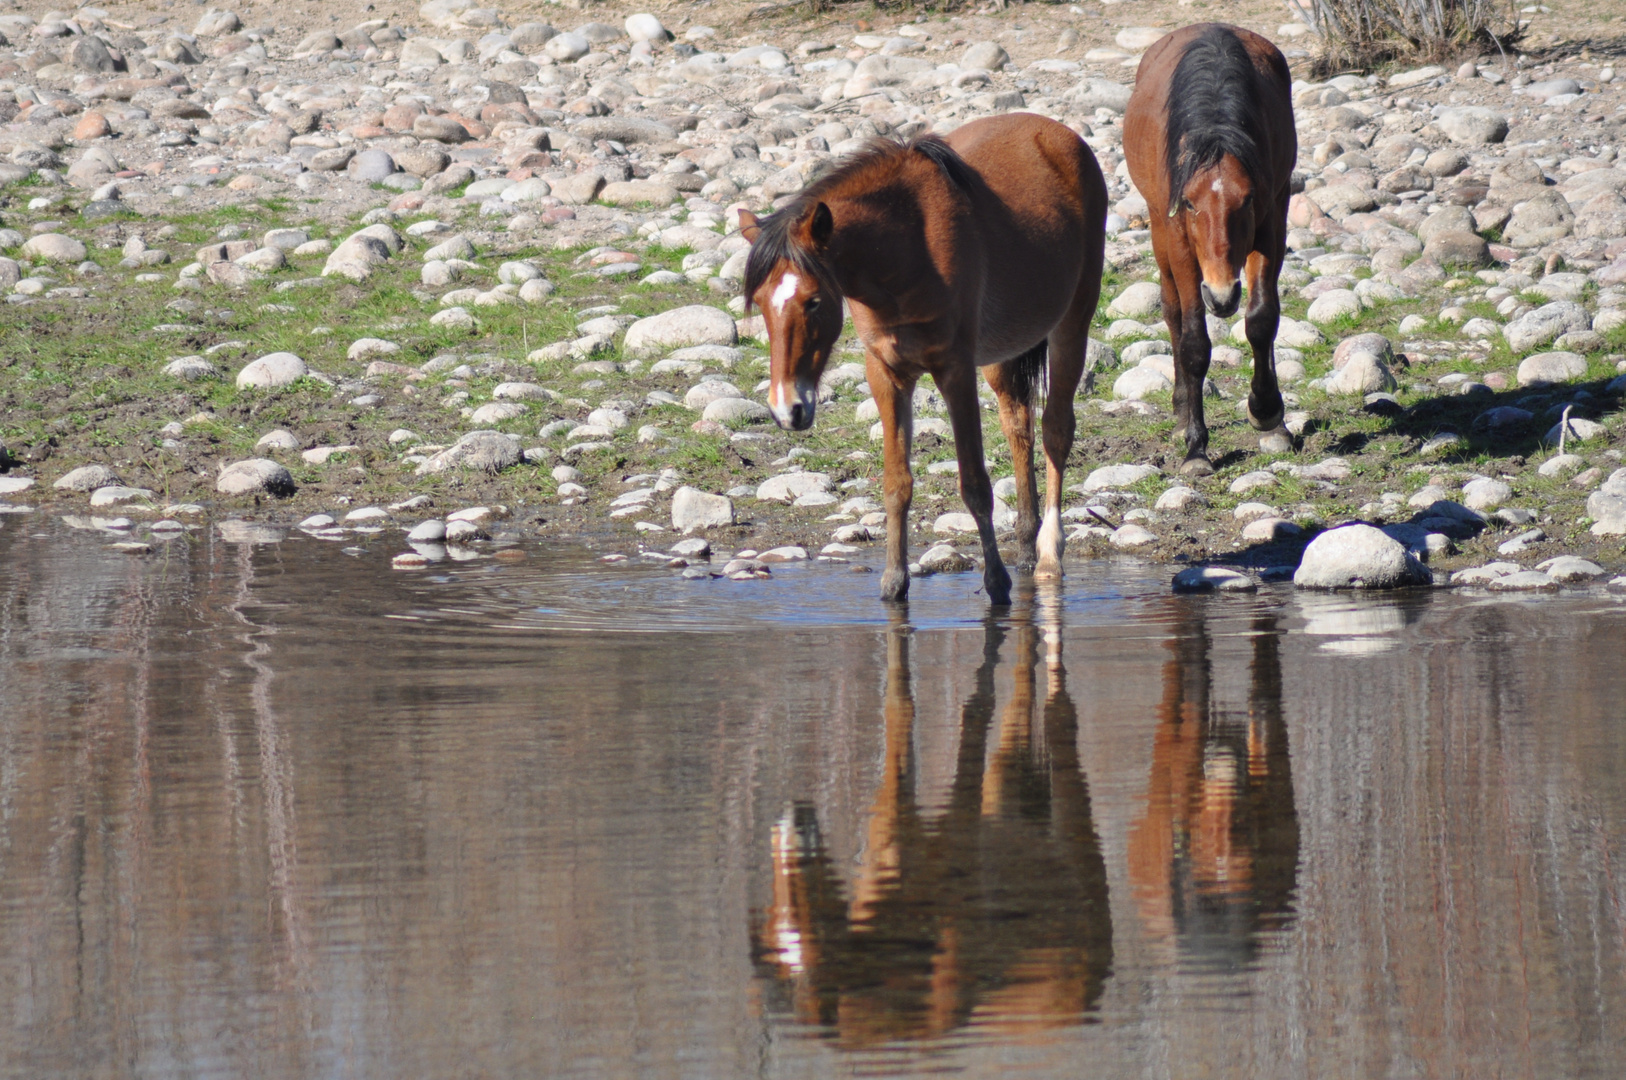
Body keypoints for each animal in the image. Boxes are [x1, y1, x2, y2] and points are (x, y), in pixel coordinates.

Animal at [738, 117, 1105, 608]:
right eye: (760, 302)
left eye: (813, 301)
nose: (787, 409)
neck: (907, 247)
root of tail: (1060, 134)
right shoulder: (886, 372)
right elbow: (897, 484)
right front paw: (894, 582)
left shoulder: (954, 369)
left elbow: (975, 485)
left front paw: (997, 584)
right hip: (1003, 355)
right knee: (1018, 423)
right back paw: (1027, 547)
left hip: (1072, 323)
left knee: (1055, 431)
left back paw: (1048, 556)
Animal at [1131, 24, 1294, 478]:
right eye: (1189, 203)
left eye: (1247, 199)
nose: (1221, 295)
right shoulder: (1180, 243)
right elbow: (1193, 343)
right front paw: (1196, 448)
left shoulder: (1270, 221)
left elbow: (1262, 320)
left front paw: (1267, 413)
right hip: (1159, 235)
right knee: (1171, 314)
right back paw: (1181, 414)